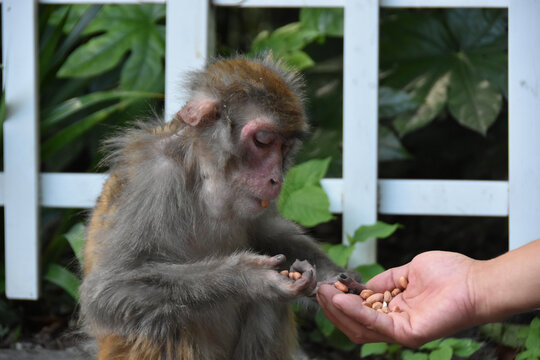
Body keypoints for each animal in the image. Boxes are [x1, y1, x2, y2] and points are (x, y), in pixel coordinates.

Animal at [79, 54, 358, 360]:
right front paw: (250, 277)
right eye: (263, 141)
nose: (276, 179)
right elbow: (108, 290)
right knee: (162, 320)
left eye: (284, 147)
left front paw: (332, 275)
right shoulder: (154, 177)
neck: (208, 180)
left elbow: (267, 230)